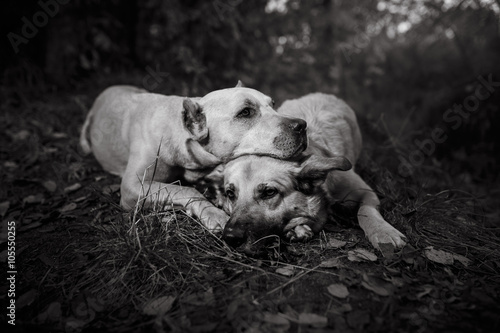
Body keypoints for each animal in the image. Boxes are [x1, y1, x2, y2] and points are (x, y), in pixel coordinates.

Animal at [79, 81, 306, 230]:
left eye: (273, 104)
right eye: (245, 112)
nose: (302, 125)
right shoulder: (133, 186)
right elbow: (184, 190)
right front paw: (214, 212)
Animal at [214, 92, 406, 253]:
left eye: (269, 192)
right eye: (230, 194)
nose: (230, 238)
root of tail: (323, 93)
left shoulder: (366, 192)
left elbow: (365, 211)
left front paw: (383, 231)